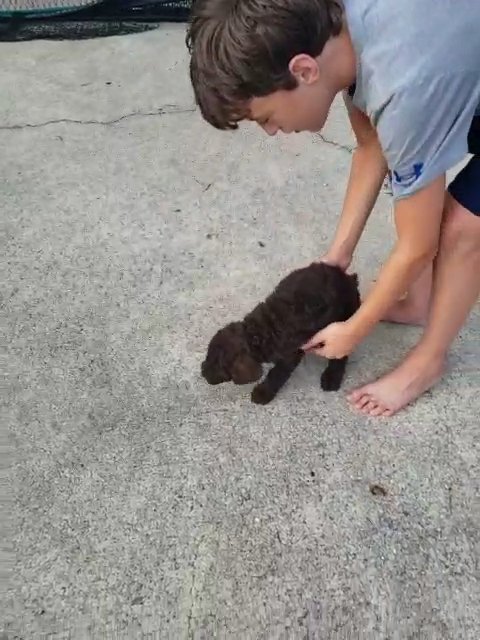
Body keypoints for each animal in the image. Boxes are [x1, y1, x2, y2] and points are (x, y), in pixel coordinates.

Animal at [200, 264, 360, 404]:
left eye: (218, 365)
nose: (202, 372)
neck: (258, 333)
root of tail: (350, 279)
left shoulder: (290, 354)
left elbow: (276, 373)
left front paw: (263, 393)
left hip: (344, 320)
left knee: (340, 355)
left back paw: (332, 377)